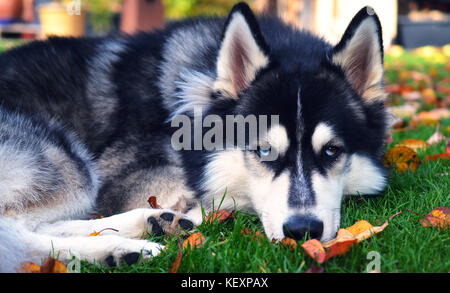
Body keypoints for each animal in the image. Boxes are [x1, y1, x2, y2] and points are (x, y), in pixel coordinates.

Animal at [0, 2, 388, 272]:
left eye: (332, 151)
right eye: (263, 150)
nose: (303, 229)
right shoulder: (127, 180)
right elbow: (219, 194)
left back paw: (149, 225)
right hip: (69, 162)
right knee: (15, 230)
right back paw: (117, 249)